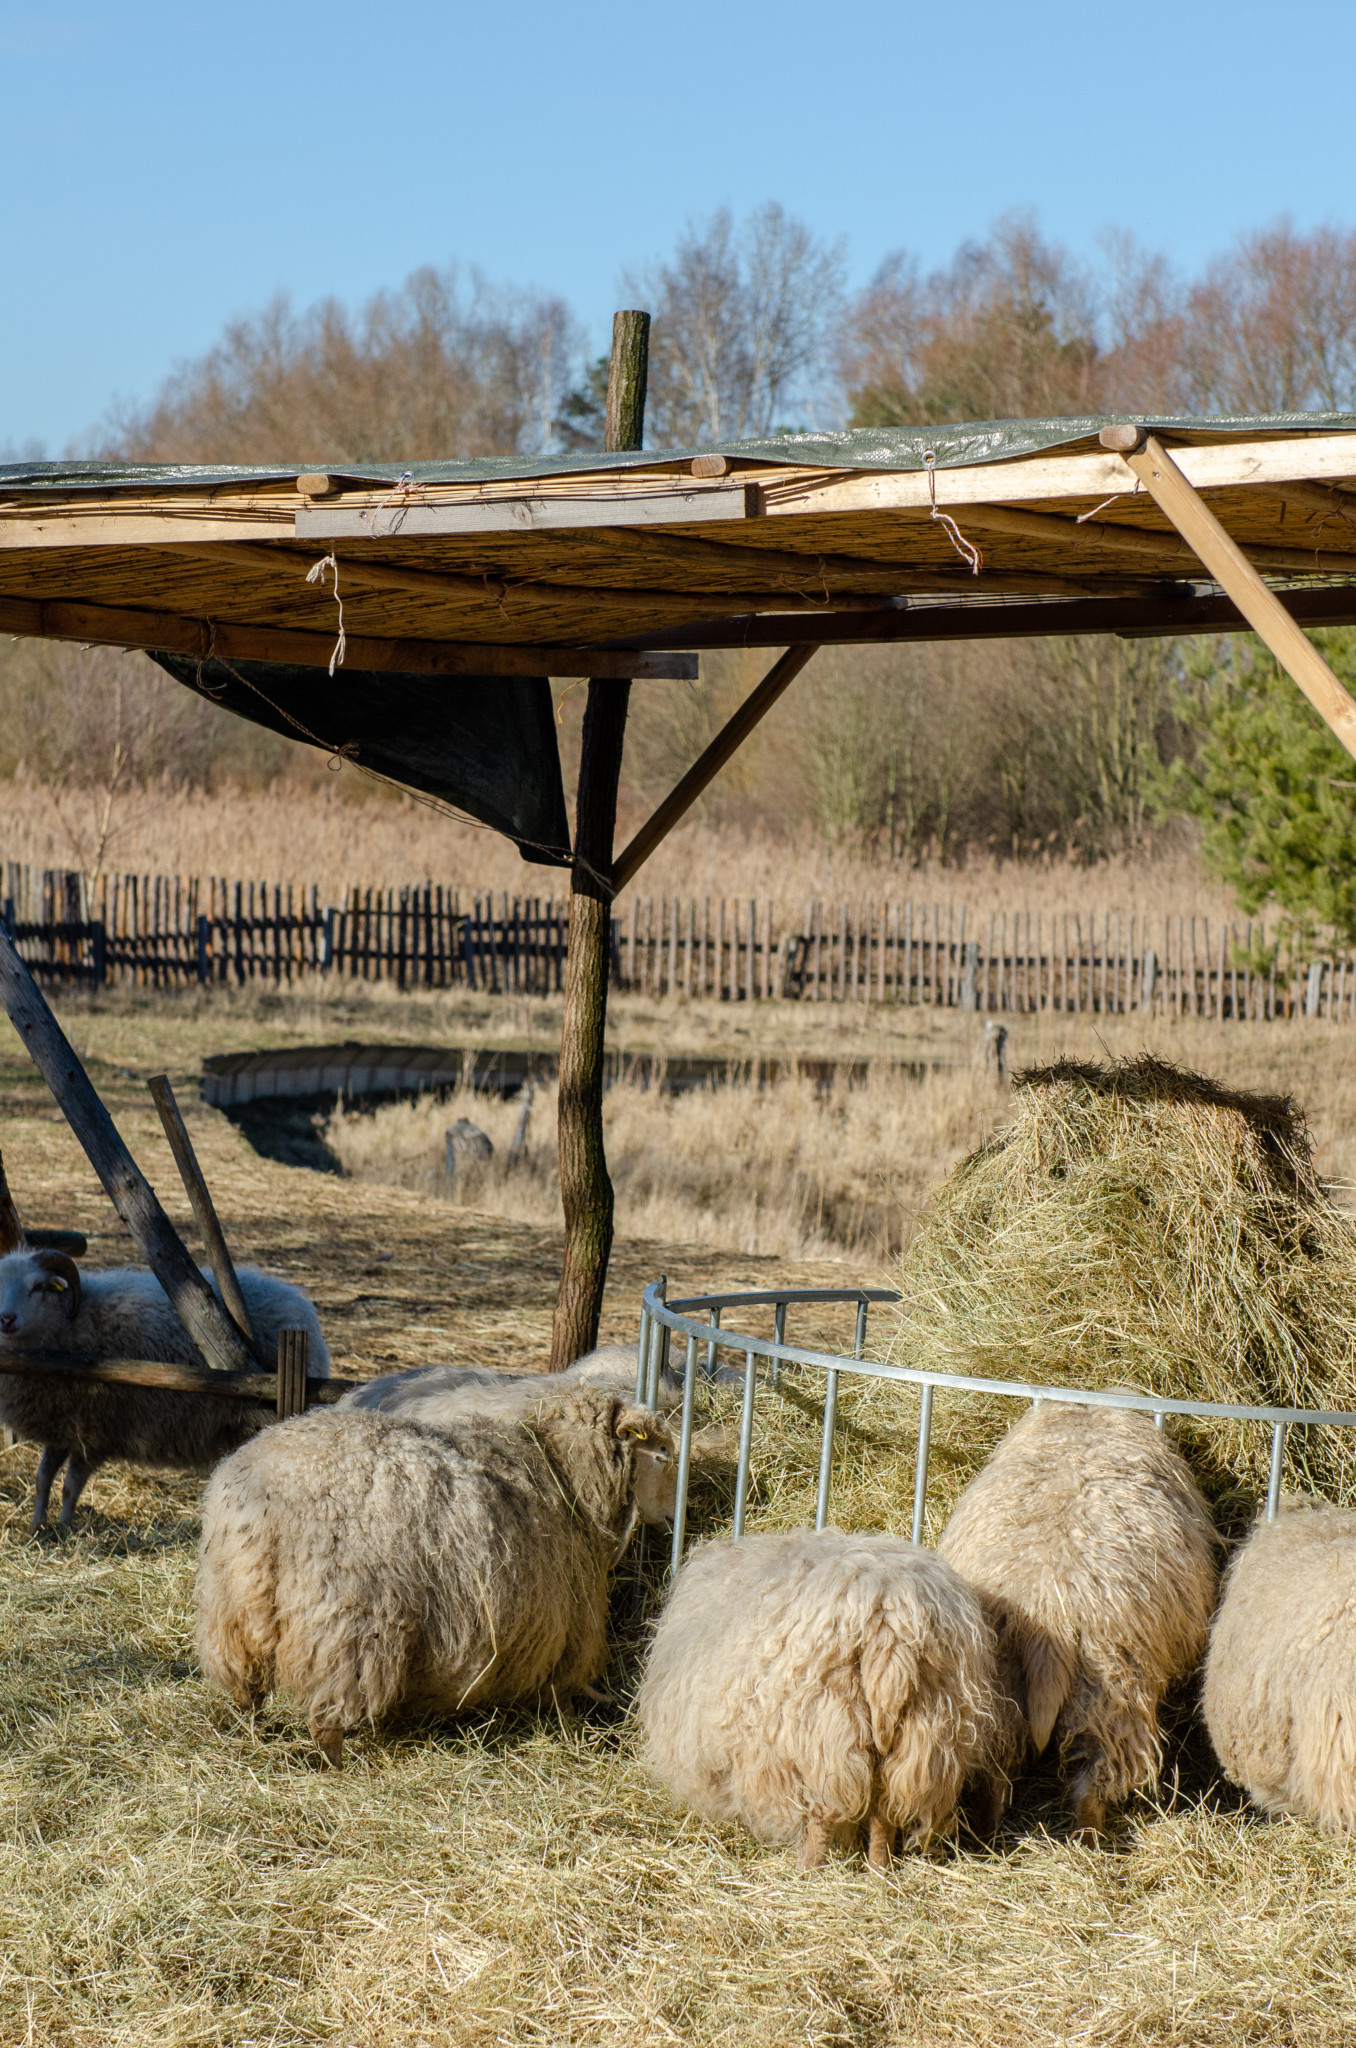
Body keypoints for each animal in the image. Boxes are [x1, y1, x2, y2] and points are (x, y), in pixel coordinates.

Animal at [0, 1245, 331, 1540]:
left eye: (38, 1287)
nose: (6, 1319)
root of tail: (298, 1301)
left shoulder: (94, 1431)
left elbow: (71, 1485)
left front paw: (66, 1527)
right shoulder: (62, 1424)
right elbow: (43, 1478)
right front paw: (37, 1526)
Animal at [195, 1384, 675, 1769]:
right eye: (663, 1455)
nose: (675, 1517)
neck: (564, 1475)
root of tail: (266, 1501)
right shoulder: (566, 1627)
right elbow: (563, 1694)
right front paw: (571, 1728)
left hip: (234, 1608)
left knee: (246, 1686)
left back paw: (252, 1730)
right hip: (345, 1626)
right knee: (328, 1710)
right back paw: (335, 1762)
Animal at [634, 1523, 1007, 1875]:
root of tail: (888, 1622)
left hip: (822, 1732)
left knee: (822, 1815)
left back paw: (808, 1870)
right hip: (923, 1736)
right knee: (884, 1811)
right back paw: (879, 1871)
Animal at [934, 1409, 1220, 1843]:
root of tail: (1046, 1610)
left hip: (1000, 1684)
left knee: (995, 1768)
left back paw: (988, 1832)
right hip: (1108, 1691)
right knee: (1096, 1772)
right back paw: (1090, 1838)